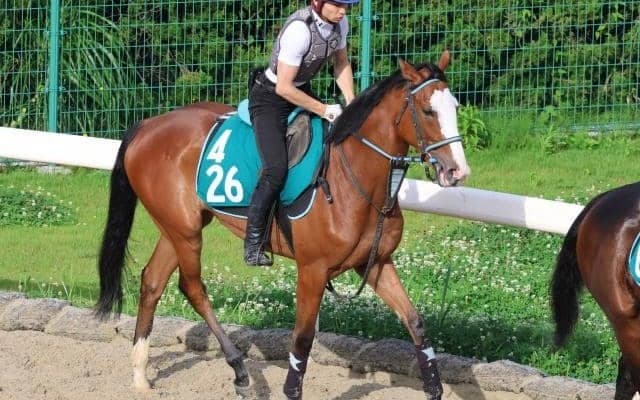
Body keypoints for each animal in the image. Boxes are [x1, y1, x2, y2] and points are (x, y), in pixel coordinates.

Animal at [95, 50, 470, 400]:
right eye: (428, 110)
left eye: (454, 106)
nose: (458, 171)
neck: (353, 179)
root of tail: (147, 125)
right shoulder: (312, 270)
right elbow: (302, 339)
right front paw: (291, 389)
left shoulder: (375, 262)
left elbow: (415, 321)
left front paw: (434, 387)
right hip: (184, 232)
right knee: (192, 287)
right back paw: (239, 370)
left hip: (178, 226)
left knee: (152, 281)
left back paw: (140, 375)